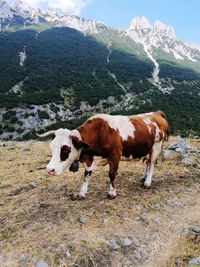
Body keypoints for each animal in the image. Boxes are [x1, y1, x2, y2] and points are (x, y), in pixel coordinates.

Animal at [37, 110, 169, 200]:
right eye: (52, 147)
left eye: (65, 149)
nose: (49, 169)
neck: (100, 133)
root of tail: (156, 112)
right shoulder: (90, 160)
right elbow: (86, 175)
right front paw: (82, 193)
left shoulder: (115, 156)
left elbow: (111, 174)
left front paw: (112, 193)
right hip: (148, 149)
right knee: (147, 162)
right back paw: (144, 177)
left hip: (157, 146)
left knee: (152, 163)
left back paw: (147, 182)